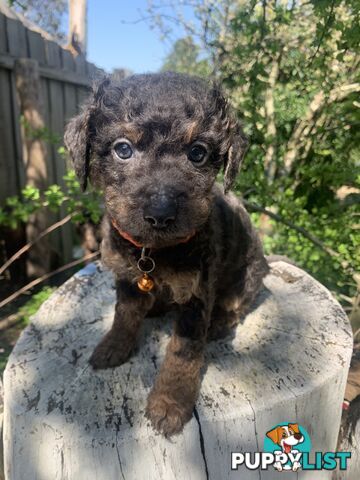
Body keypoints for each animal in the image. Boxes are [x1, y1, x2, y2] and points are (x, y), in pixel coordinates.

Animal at [63, 73, 268, 436]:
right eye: (123, 149)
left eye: (198, 153)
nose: (160, 213)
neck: (153, 251)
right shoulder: (126, 274)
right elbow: (124, 314)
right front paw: (113, 346)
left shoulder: (197, 294)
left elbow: (183, 352)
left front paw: (170, 403)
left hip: (246, 276)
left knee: (236, 305)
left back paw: (219, 324)